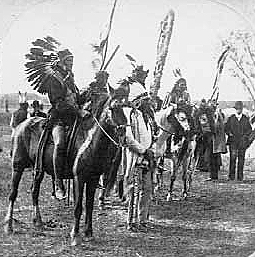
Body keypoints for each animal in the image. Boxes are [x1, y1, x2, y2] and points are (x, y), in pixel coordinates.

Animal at [3, 89, 127, 245]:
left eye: (124, 108)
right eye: (112, 108)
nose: (123, 131)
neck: (89, 141)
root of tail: (21, 126)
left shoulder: (92, 179)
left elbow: (90, 206)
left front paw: (89, 233)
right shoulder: (79, 178)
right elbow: (78, 207)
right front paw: (75, 236)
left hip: (39, 171)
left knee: (34, 192)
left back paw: (38, 222)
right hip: (17, 167)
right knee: (13, 194)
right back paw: (9, 226)